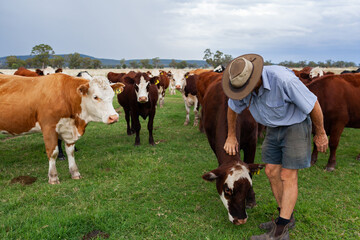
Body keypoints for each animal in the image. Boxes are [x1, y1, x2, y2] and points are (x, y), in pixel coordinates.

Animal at [202, 80, 264, 225]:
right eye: (227, 190)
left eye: (248, 187)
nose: (240, 219)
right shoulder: (213, 143)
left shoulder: (251, 142)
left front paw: (251, 200)